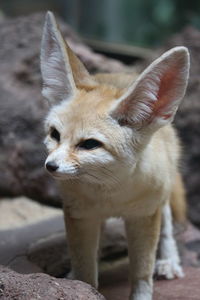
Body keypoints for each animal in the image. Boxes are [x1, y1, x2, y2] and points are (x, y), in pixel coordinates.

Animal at [40, 12, 189, 300]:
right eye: (54, 134)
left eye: (89, 144)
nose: (50, 166)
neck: (110, 192)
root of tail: (123, 72)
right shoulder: (79, 215)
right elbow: (85, 268)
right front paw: (82, 288)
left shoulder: (145, 215)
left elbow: (141, 273)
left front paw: (142, 293)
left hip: (163, 193)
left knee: (167, 224)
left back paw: (169, 260)